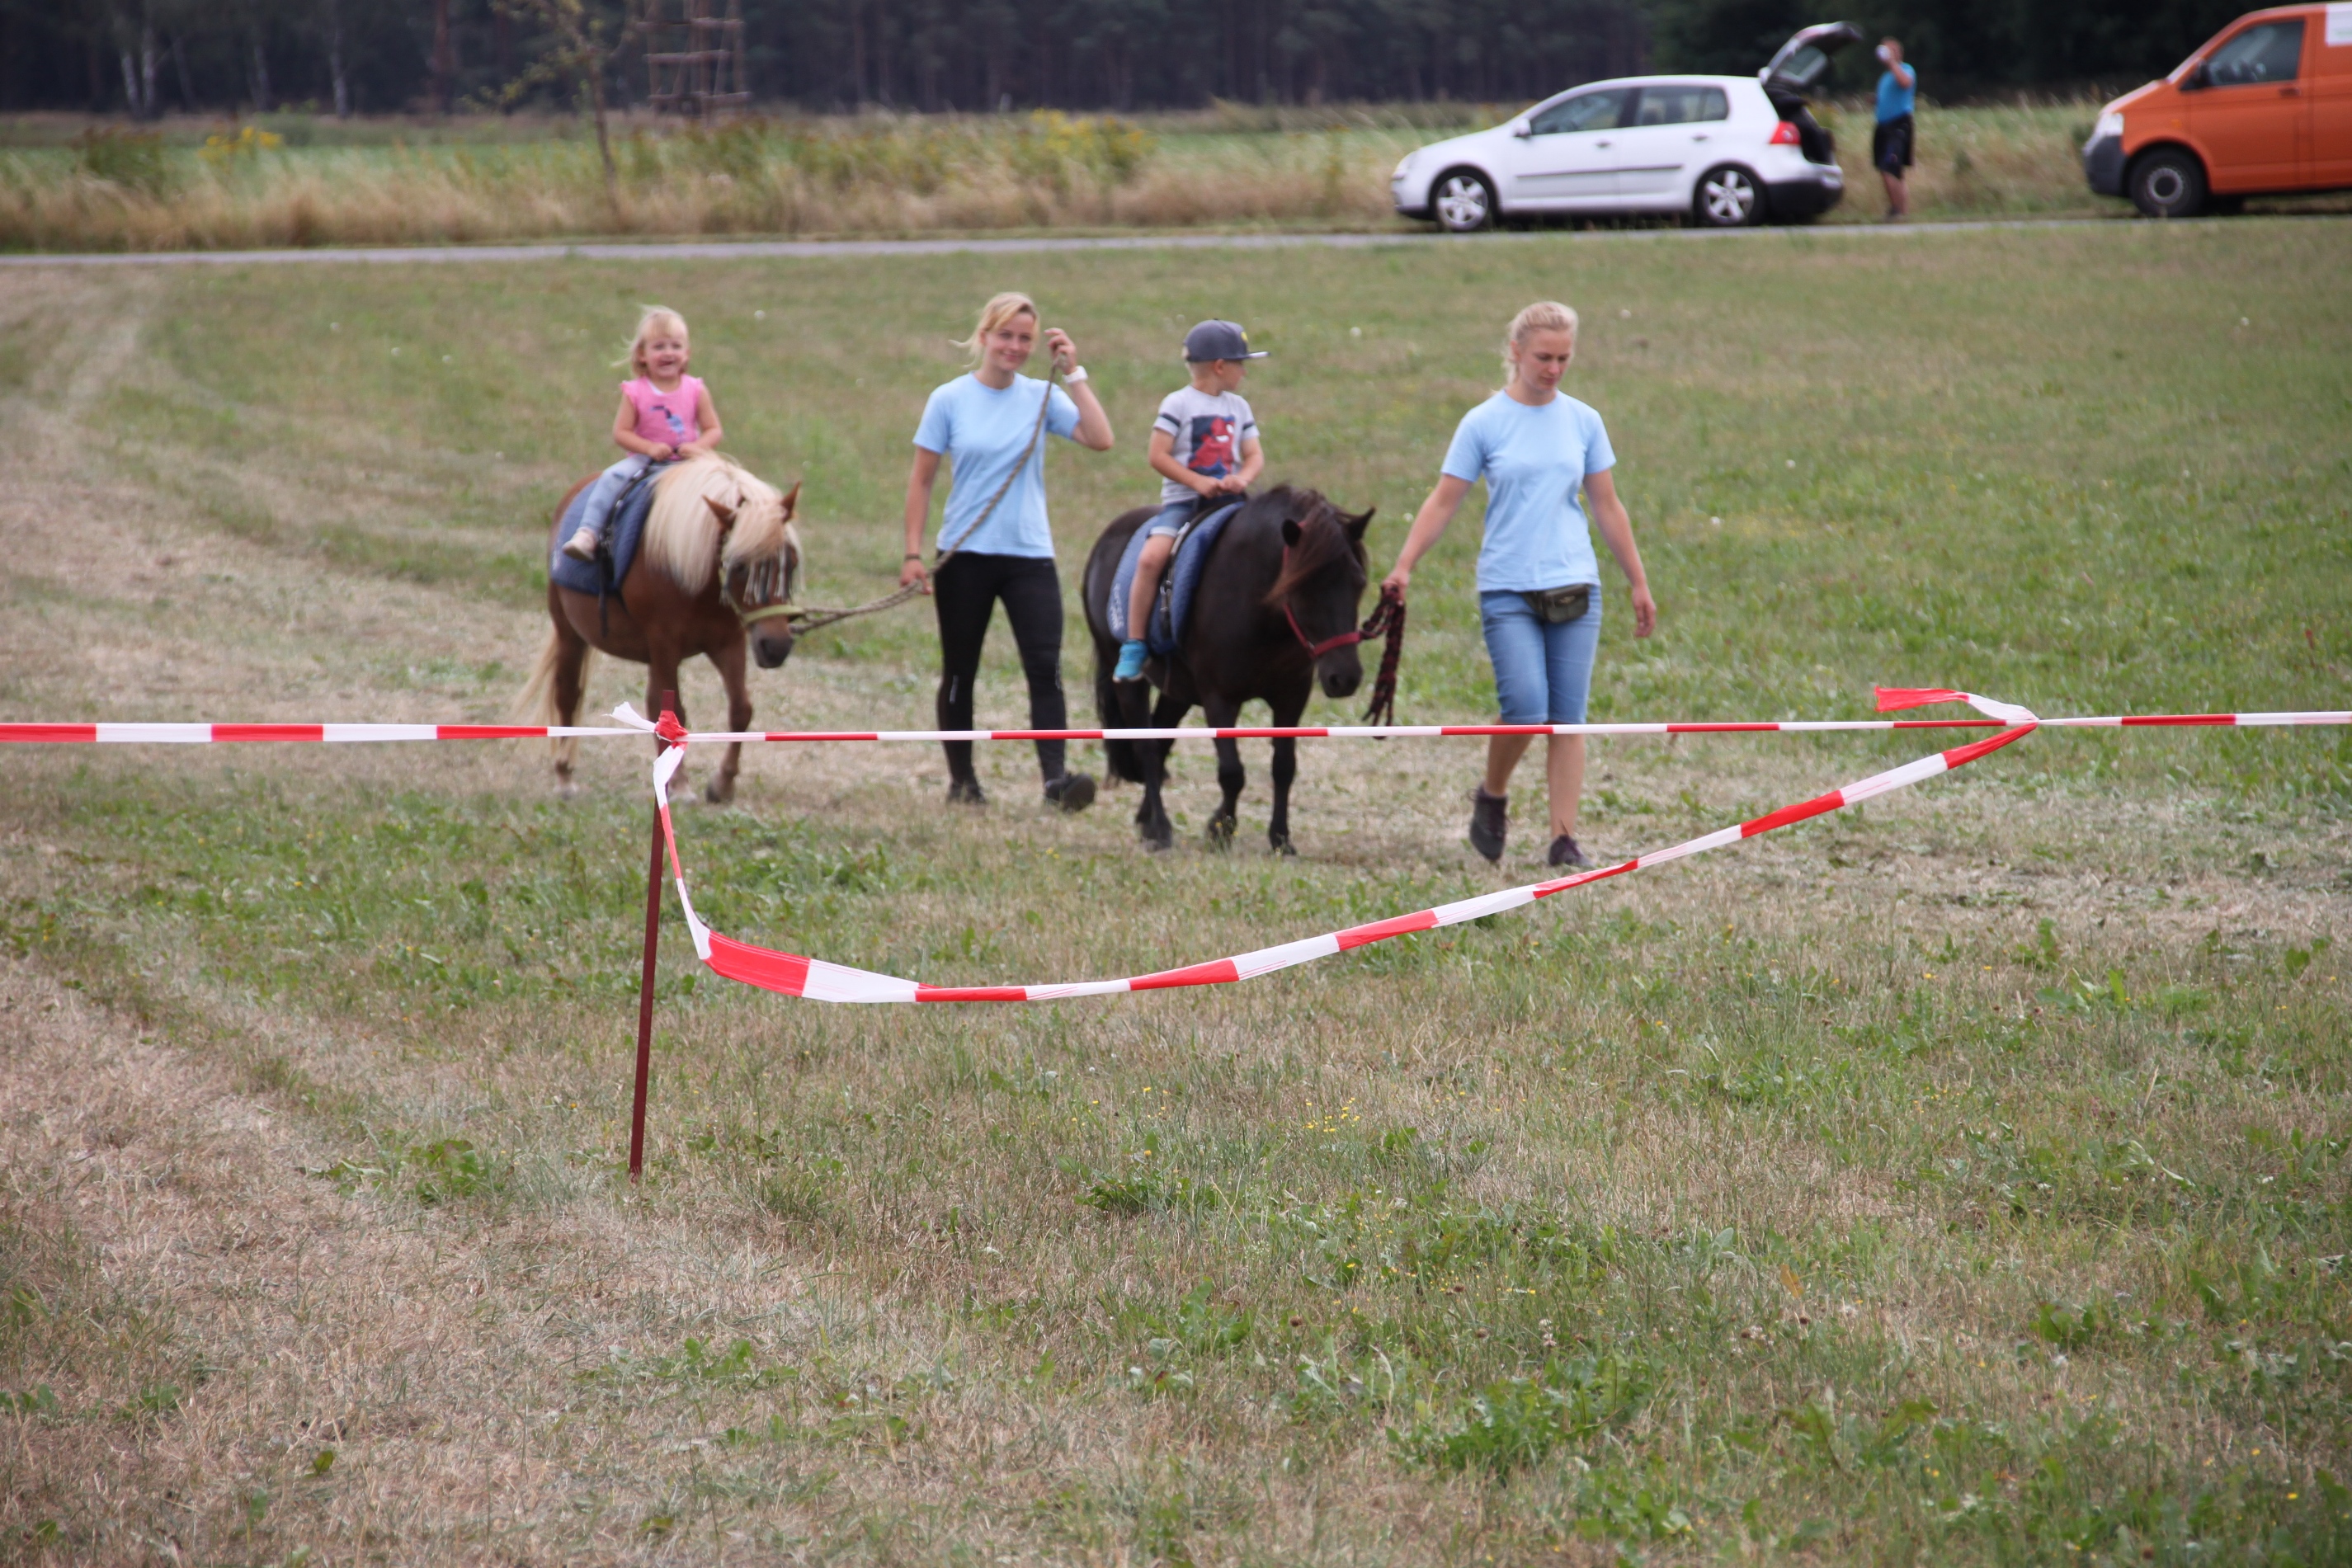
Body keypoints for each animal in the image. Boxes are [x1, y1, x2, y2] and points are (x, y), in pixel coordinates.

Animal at [519, 455, 803, 804]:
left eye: (791, 563)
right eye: (739, 566)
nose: (776, 647)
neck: (696, 577)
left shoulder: (729, 643)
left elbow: (741, 709)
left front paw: (723, 784)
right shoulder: (664, 643)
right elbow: (674, 714)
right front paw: (680, 784)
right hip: (569, 632)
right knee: (568, 694)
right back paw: (564, 776)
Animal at [1082, 486, 1374, 853]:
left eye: (1359, 582)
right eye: (1303, 587)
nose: (1344, 678)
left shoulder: (1292, 695)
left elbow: (1284, 767)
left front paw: (1280, 838)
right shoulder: (1218, 697)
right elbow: (1232, 771)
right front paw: (1220, 830)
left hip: (1178, 691)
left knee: (1162, 741)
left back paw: (1147, 821)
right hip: (1128, 680)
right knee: (1147, 747)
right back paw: (1160, 829)